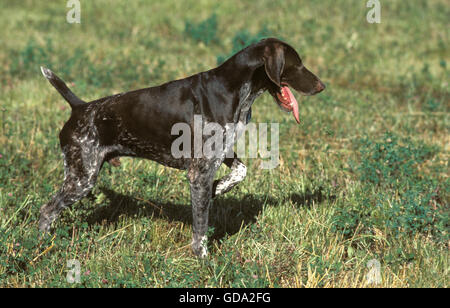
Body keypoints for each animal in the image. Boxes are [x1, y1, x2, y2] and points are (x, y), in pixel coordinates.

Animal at [39, 37, 324, 256]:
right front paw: (203, 259)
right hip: (82, 178)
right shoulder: (199, 172)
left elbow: (240, 172)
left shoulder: (219, 154)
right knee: (46, 211)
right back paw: (40, 244)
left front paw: (219, 187)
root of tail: (80, 107)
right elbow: (200, 227)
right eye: (297, 64)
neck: (234, 89)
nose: (322, 86)